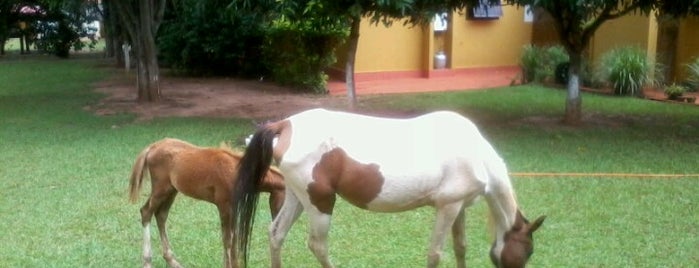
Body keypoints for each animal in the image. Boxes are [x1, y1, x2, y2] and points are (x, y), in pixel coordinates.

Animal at [130, 138, 286, 268]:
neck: (236, 171)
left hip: (171, 191)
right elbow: (228, 239)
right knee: (146, 212)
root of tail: (152, 147)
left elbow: (234, 238)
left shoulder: (234, 207)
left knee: (161, 216)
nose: (276, 223)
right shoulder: (224, 206)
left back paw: (172, 261)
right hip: (160, 190)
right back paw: (147, 262)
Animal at [235, 109, 548, 268]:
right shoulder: (447, 208)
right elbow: (435, 253)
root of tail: (285, 124)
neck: (475, 153)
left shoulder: (458, 207)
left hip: (297, 197)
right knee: (317, 245)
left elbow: (461, 248)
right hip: (320, 202)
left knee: (276, 234)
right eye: (528, 251)